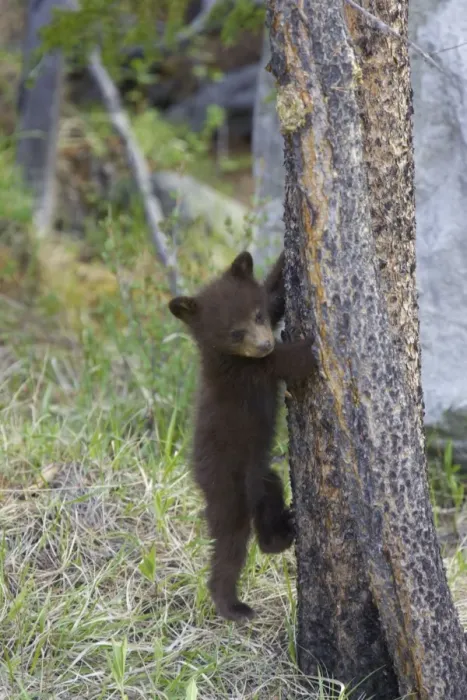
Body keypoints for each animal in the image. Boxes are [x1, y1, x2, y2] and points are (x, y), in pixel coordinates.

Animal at [168, 251, 317, 621]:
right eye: (235, 333)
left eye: (257, 315)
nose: (264, 343)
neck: (225, 356)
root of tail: (197, 476)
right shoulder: (251, 371)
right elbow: (291, 361)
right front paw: (313, 346)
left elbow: (275, 294)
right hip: (227, 484)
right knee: (230, 542)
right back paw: (232, 605)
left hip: (258, 474)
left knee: (269, 494)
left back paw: (281, 533)